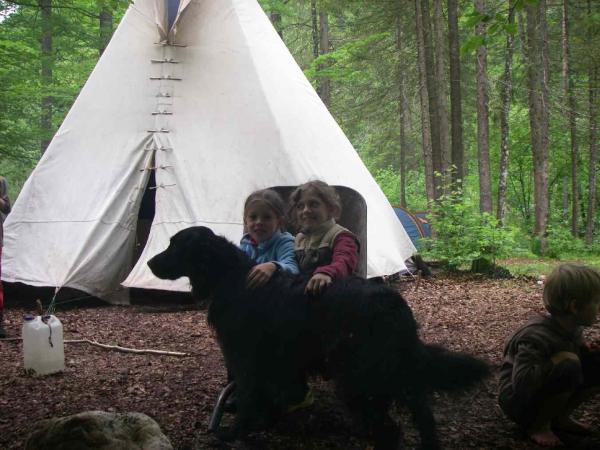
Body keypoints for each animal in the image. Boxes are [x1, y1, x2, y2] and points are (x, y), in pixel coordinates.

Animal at [148, 227, 490, 448]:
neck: (232, 278)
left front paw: (234, 433)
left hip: (358, 378)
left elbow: (246, 398)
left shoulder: (245, 359)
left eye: (175, 245)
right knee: (423, 419)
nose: (149, 262)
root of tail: (391, 301)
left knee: (390, 431)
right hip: (397, 375)